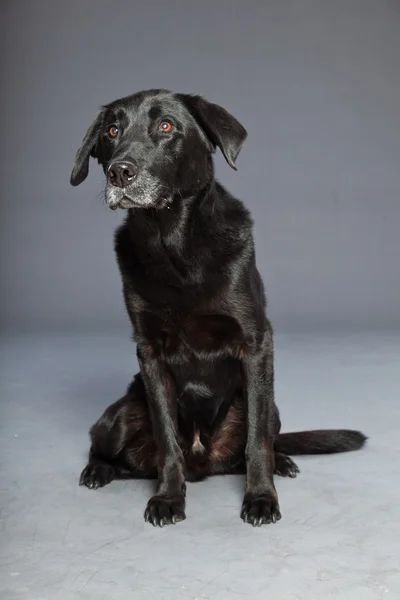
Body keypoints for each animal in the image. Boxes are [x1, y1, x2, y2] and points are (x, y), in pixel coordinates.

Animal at [69, 89, 366, 524]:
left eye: (166, 126)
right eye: (111, 131)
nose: (119, 172)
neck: (174, 248)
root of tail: (204, 461)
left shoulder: (256, 343)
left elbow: (256, 441)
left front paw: (261, 497)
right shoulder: (149, 352)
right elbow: (167, 438)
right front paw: (167, 498)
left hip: (272, 406)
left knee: (261, 438)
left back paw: (281, 462)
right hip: (120, 417)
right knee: (104, 445)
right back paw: (98, 469)